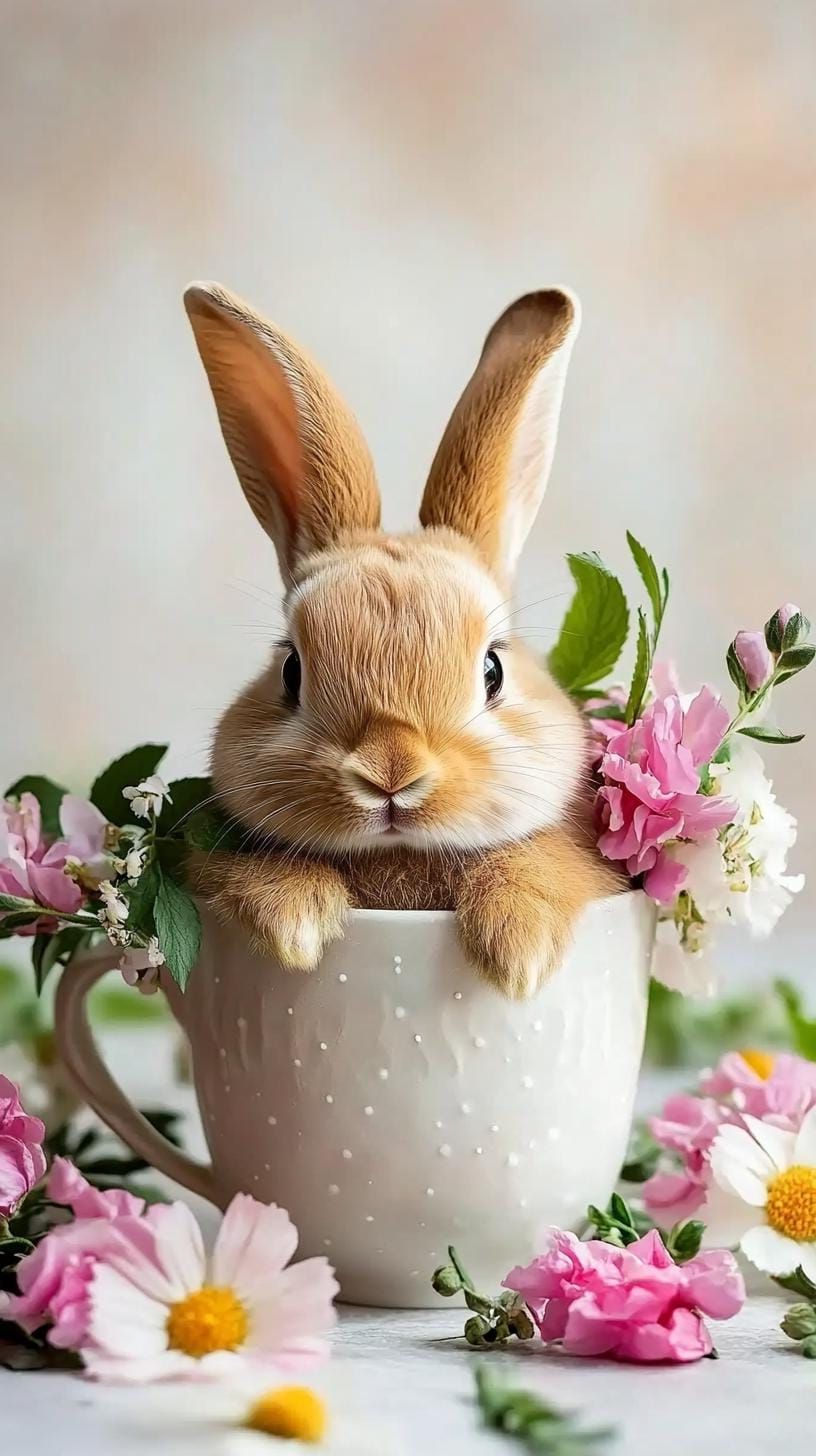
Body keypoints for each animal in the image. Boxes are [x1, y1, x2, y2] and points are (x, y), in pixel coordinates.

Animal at [184, 282, 618, 999]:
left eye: (493, 671)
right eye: (291, 672)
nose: (392, 771)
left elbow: (540, 865)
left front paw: (517, 952)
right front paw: (295, 923)